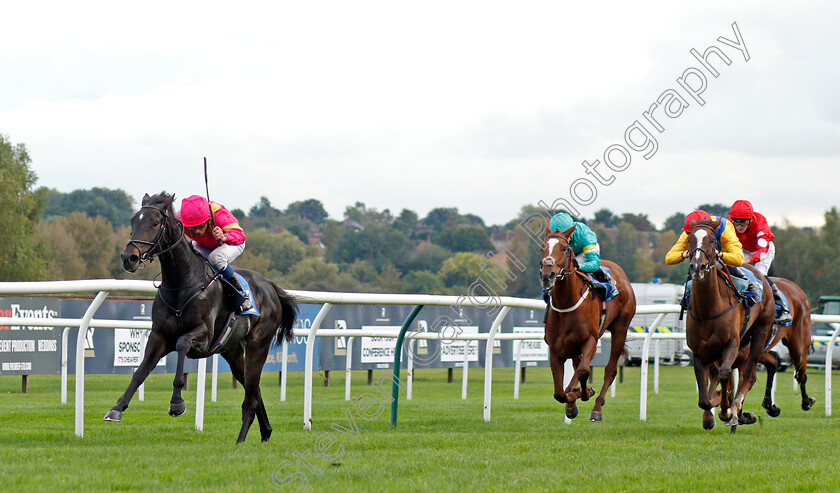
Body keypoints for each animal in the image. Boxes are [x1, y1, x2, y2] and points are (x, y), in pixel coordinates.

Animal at [104, 191, 296, 442]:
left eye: (155, 223)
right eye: (133, 220)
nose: (129, 257)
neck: (182, 284)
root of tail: (271, 287)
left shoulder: (203, 336)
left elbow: (182, 344)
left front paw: (176, 403)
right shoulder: (158, 336)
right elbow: (140, 372)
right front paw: (116, 408)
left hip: (258, 345)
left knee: (250, 398)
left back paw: (240, 441)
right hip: (232, 351)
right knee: (254, 390)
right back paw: (265, 432)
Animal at [540, 223, 632, 418]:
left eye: (564, 248)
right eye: (542, 247)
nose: (547, 275)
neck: (567, 304)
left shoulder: (590, 340)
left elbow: (584, 371)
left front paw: (585, 393)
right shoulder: (555, 348)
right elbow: (559, 392)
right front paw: (572, 400)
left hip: (621, 328)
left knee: (609, 370)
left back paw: (597, 408)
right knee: (577, 365)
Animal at [684, 219, 776, 430]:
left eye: (711, 240)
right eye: (689, 240)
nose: (698, 266)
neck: (709, 309)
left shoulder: (731, 344)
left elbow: (725, 374)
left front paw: (727, 410)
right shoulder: (699, 352)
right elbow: (704, 398)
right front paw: (713, 409)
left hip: (760, 332)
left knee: (749, 373)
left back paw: (737, 407)